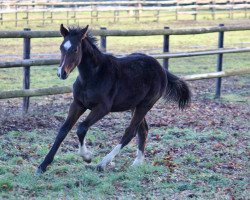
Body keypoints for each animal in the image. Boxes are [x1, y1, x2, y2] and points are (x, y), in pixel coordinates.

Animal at [36, 24, 190, 174]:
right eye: (61, 47)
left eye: (75, 49)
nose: (61, 73)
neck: (92, 76)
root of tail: (161, 69)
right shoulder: (78, 104)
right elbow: (63, 130)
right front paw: (43, 165)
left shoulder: (102, 108)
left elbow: (81, 128)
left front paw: (87, 157)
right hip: (135, 105)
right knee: (143, 130)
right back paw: (137, 163)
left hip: (145, 105)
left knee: (130, 132)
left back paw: (103, 163)